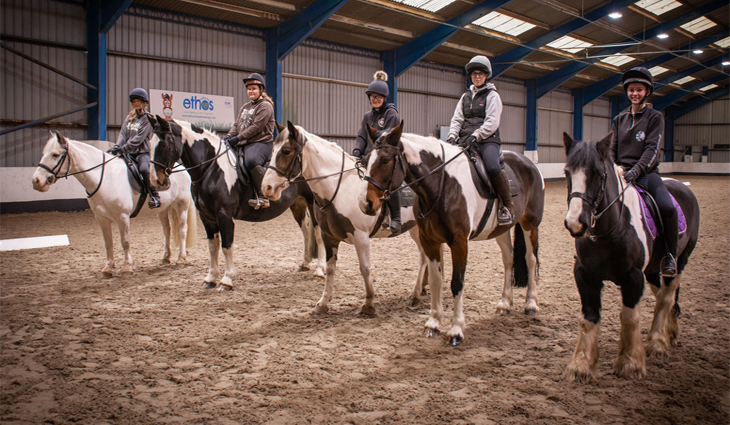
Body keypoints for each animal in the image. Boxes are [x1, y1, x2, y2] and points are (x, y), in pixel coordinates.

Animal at [31, 132, 196, 278]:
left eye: (55, 155)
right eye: (43, 153)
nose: (36, 181)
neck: (104, 177)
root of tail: (180, 168)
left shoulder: (122, 217)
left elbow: (125, 242)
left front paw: (127, 268)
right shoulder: (101, 218)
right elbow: (108, 243)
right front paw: (108, 268)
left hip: (181, 205)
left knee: (182, 230)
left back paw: (181, 259)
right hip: (163, 209)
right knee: (167, 231)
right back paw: (165, 257)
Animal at [149, 116, 322, 290]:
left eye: (163, 144)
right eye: (149, 143)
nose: (156, 181)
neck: (211, 169)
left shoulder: (224, 215)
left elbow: (226, 246)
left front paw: (227, 280)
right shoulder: (206, 216)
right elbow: (212, 247)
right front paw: (210, 279)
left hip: (313, 204)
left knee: (318, 233)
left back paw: (320, 270)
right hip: (297, 204)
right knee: (306, 231)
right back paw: (305, 263)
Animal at [260, 121, 426, 314]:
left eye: (286, 150)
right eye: (272, 150)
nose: (266, 188)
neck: (340, 189)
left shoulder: (361, 237)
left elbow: (365, 268)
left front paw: (368, 304)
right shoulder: (328, 237)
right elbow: (331, 268)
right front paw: (323, 303)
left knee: (424, 258)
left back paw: (416, 295)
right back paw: (422, 290)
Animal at [356, 121, 540, 344]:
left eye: (385, 159)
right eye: (366, 160)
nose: (365, 203)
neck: (442, 185)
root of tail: (528, 162)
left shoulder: (459, 242)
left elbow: (457, 283)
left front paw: (456, 330)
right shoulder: (430, 241)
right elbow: (436, 281)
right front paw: (433, 324)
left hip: (530, 224)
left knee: (530, 259)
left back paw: (531, 304)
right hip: (501, 230)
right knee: (509, 259)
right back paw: (505, 304)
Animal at [560, 132, 696, 380]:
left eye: (599, 174)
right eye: (567, 173)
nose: (576, 223)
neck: (609, 231)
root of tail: (682, 186)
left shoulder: (634, 277)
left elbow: (629, 317)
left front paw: (630, 363)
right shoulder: (585, 276)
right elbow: (589, 317)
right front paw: (582, 365)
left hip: (679, 261)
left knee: (667, 296)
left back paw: (657, 343)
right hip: (653, 269)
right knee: (663, 295)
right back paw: (669, 333)